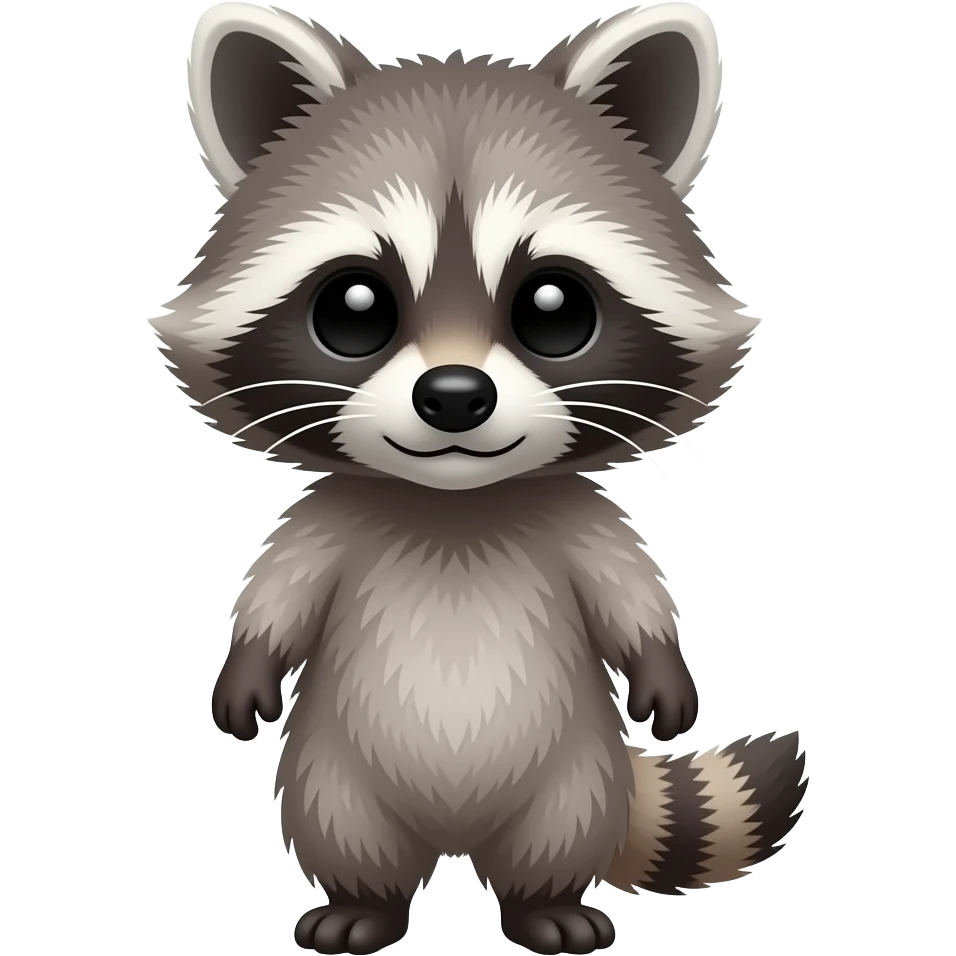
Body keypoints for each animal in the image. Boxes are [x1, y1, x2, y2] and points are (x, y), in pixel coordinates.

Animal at [154, 3, 807, 954]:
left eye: (554, 308)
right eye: (354, 307)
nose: (455, 398)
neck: (454, 508)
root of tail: (455, 841)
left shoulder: (572, 517)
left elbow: (629, 591)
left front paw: (663, 667)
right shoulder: (335, 517)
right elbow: (280, 589)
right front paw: (246, 667)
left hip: (576, 773)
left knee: (557, 830)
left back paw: (544, 904)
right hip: (334, 769)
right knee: (341, 822)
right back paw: (364, 902)